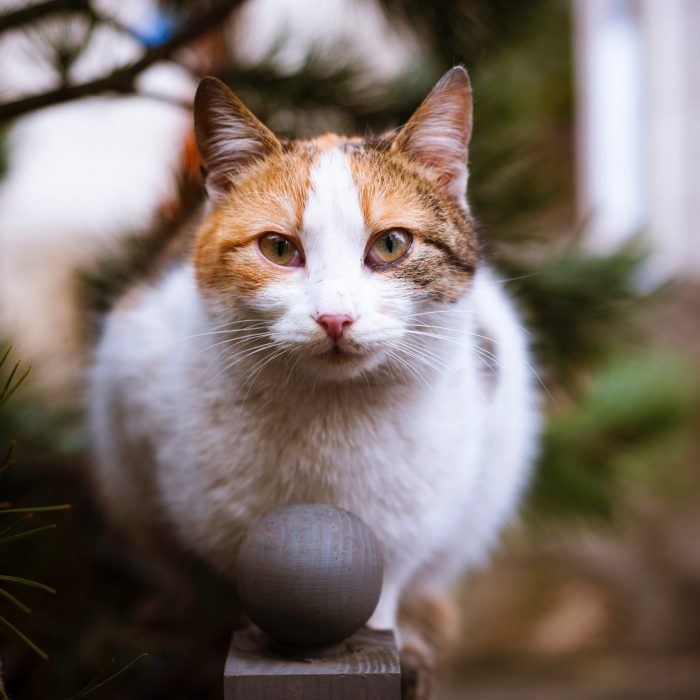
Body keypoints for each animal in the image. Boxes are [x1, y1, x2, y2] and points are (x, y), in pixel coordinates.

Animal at [86, 67, 536, 700]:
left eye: (392, 244)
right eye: (278, 248)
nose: (335, 318)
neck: (329, 416)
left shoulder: (407, 531)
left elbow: (382, 597)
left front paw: (393, 640)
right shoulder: (133, 400)